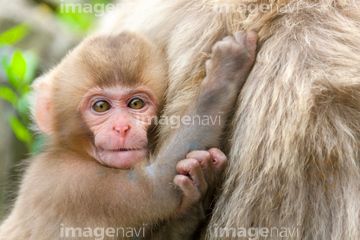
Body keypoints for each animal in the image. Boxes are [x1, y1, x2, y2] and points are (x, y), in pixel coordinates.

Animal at [0, 31, 256, 239]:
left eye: (136, 103)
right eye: (101, 106)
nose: (122, 128)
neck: (76, 151)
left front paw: (195, 198)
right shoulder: (72, 182)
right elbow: (156, 186)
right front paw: (224, 73)